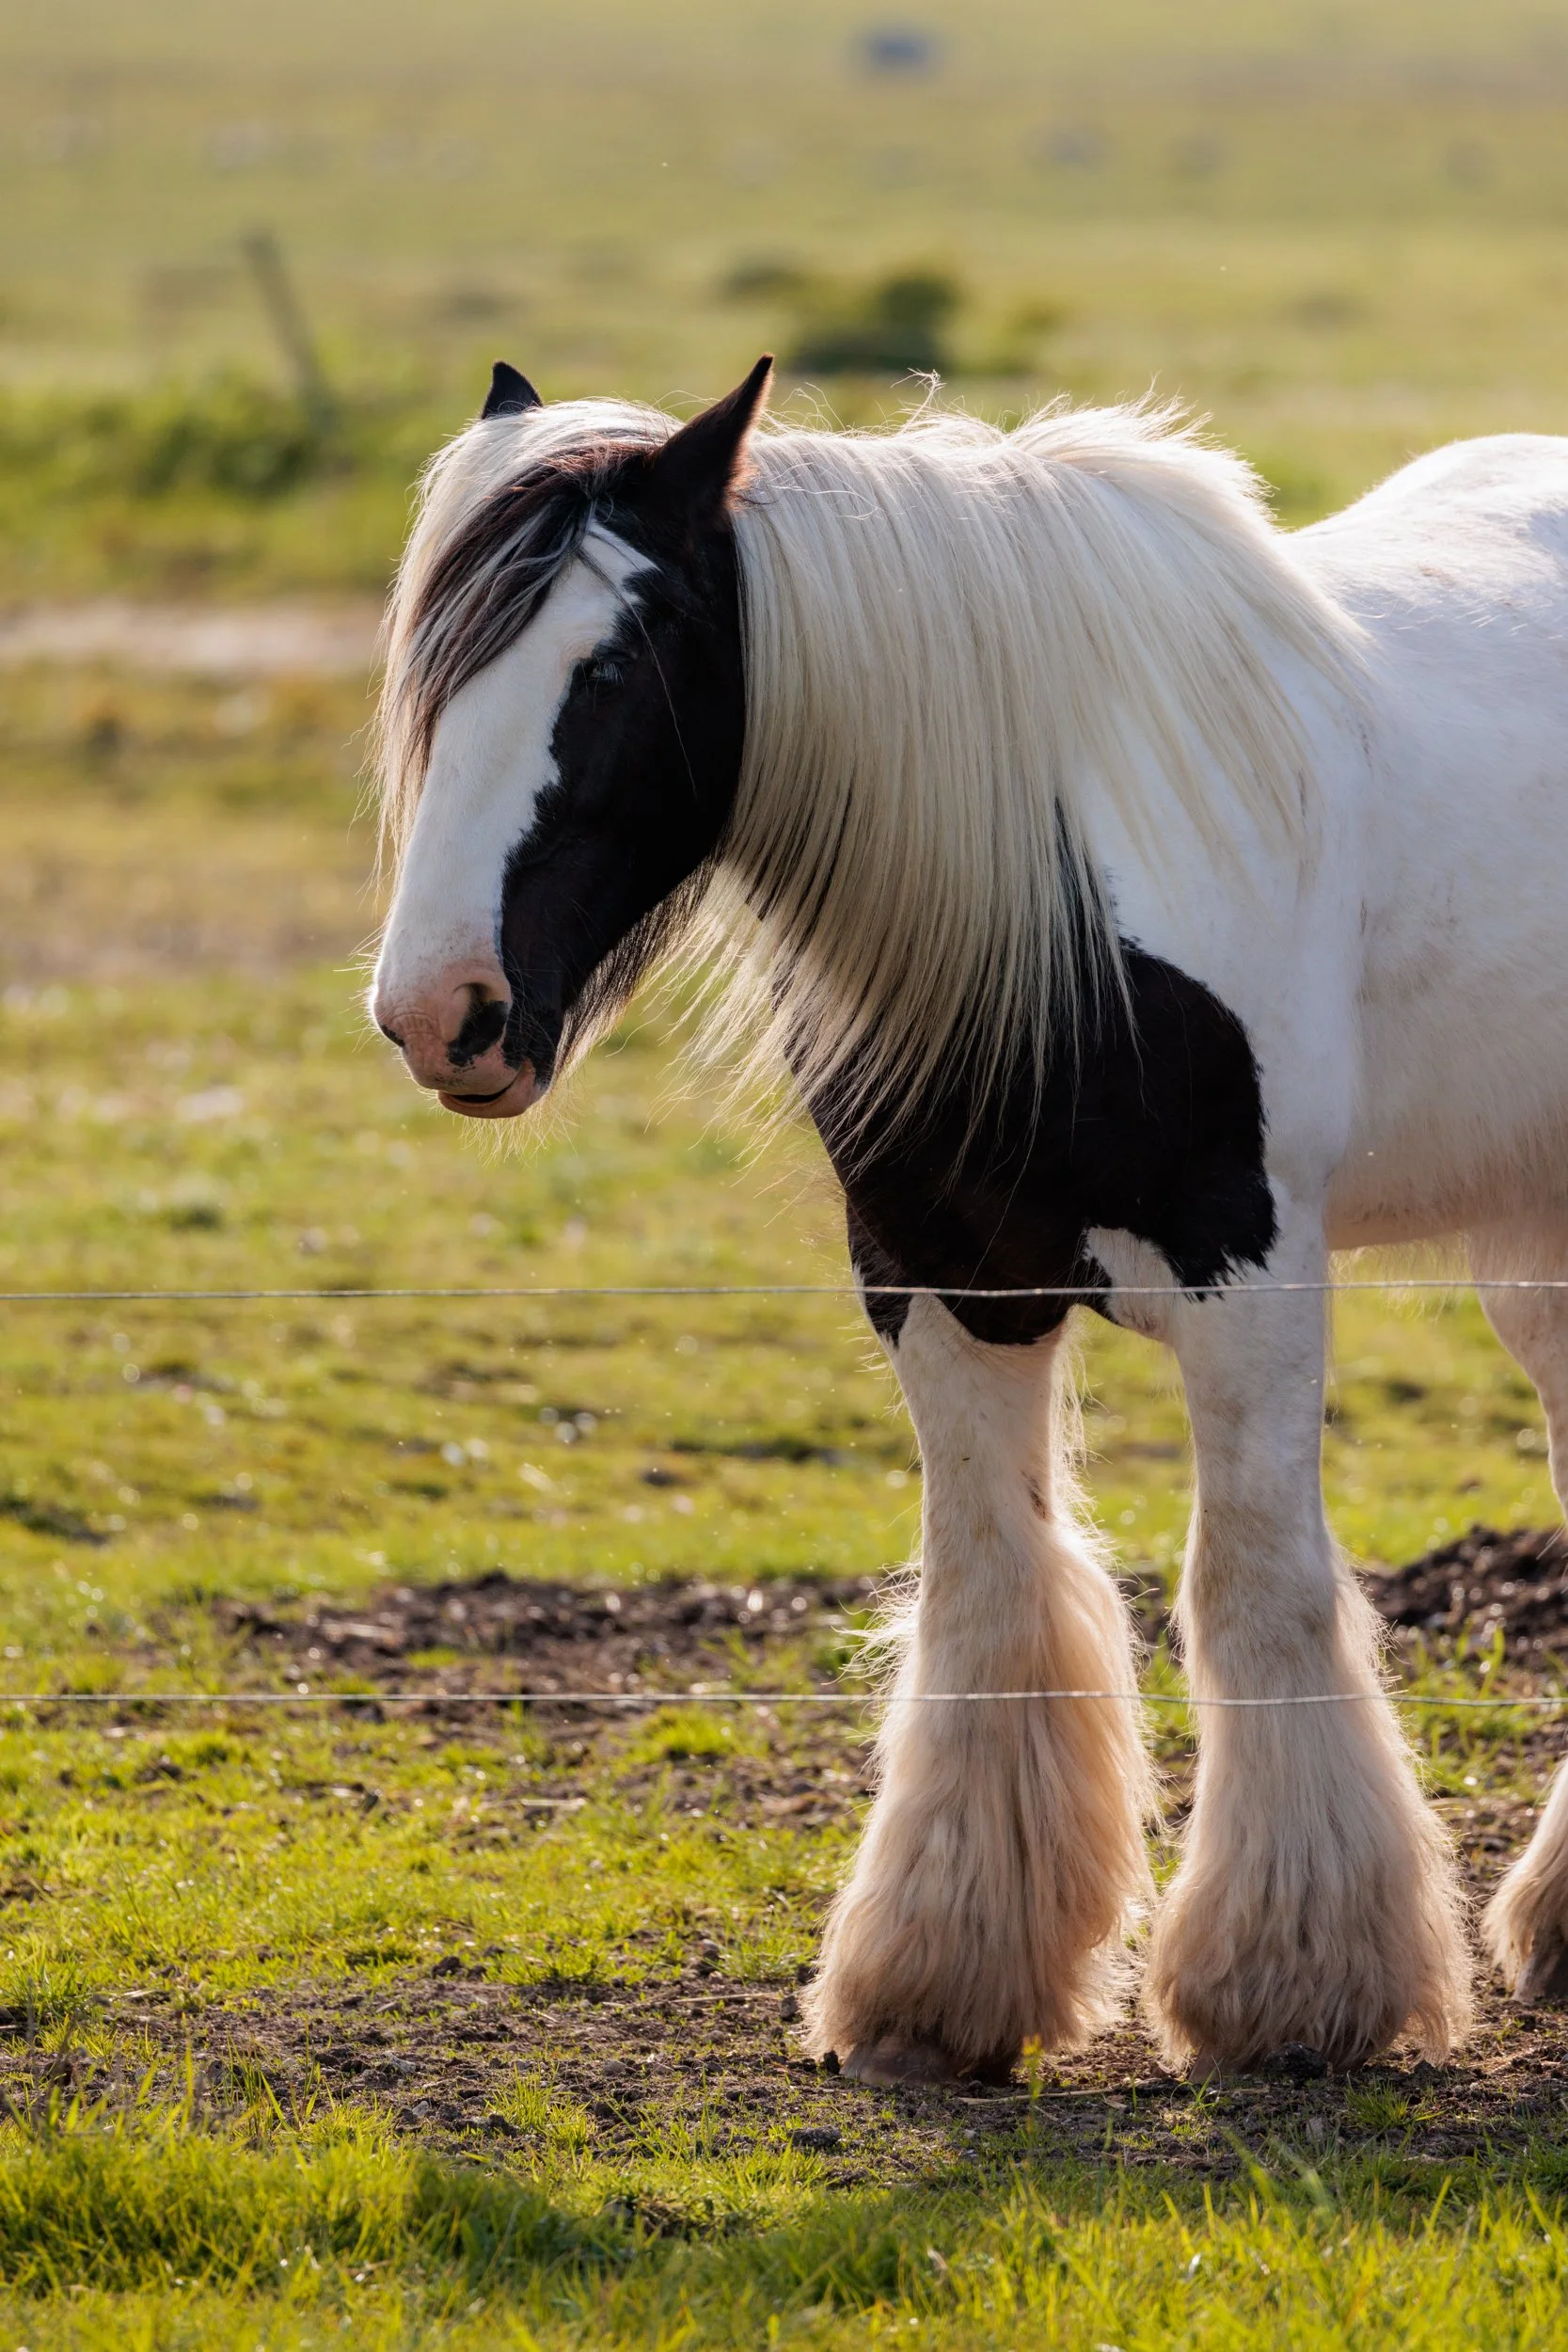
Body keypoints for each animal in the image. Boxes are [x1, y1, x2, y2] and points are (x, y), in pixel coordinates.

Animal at [370, 353, 1568, 2084]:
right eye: (430, 673)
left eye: (610, 664)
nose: (437, 1013)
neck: (1054, 869)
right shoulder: (937, 1274)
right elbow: (992, 1590)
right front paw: (944, 1980)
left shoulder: (1251, 1275)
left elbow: (1252, 1590)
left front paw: (1289, 1988)